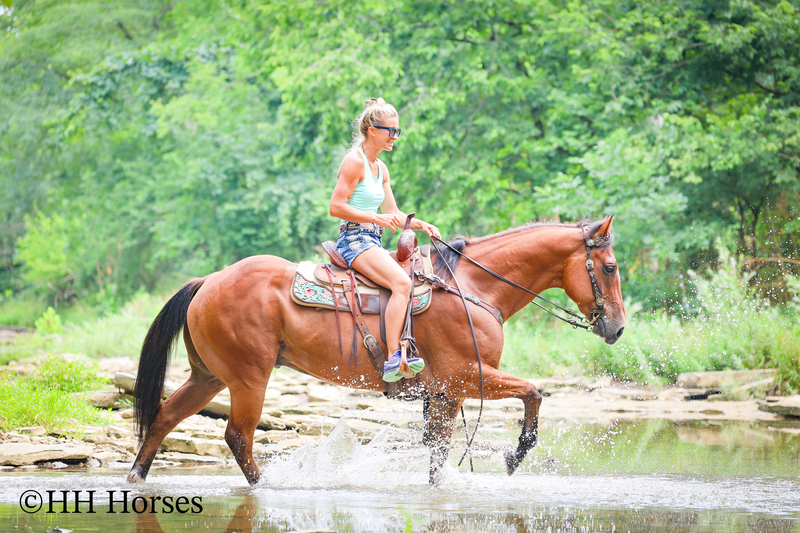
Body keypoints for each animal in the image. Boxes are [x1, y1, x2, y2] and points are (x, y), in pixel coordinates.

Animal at [127, 215, 625, 486]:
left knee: (166, 416)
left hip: (209, 376)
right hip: (249, 378)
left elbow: (438, 453)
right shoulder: (467, 376)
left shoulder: (446, 394)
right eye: (610, 267)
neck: (473, 289)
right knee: (238, 436)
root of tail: (208, 281)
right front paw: (514, 455)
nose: (617, 328)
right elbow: (534, 392)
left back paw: (137, 477)